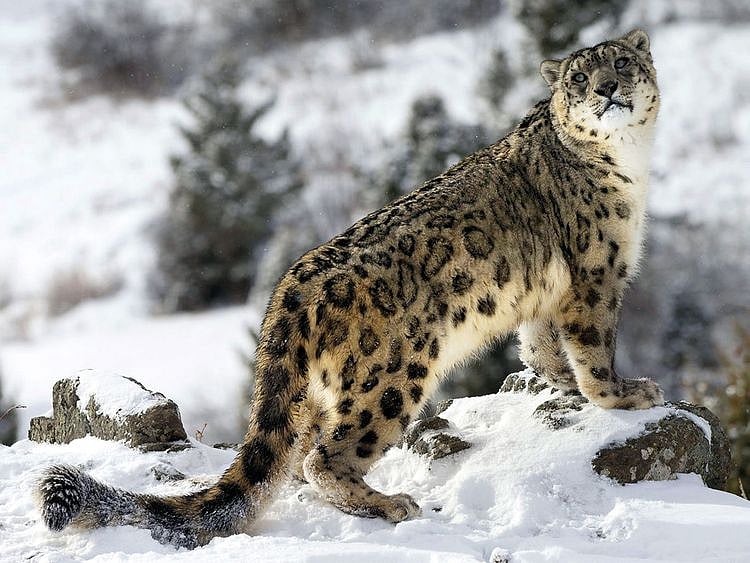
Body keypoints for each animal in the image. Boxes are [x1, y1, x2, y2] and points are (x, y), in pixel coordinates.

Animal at [37, 29, 663, 549]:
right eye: (580, 78)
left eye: (622, 63)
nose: (607, 89)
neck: (629, 164)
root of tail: (290, 288)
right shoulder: (596, 275)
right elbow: (593, 347)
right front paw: (624, 394)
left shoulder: (548, 293)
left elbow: (541, 343)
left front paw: (559, 383)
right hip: (392, 376)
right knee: (326, 458)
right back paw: (391, 504)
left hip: (324, 393)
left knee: (297, 456)